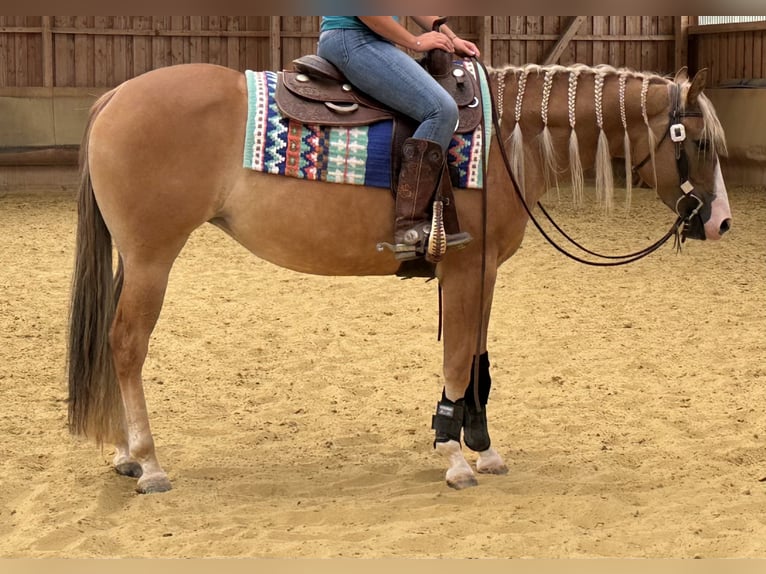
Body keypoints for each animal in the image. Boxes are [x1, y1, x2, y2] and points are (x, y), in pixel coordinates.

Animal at [67, 60, 732, 494]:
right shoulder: (465, 268)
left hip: (136, 260)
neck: (502, 144)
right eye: (699, 142)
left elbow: (478, 361)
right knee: (127, 344)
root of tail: (115, 95)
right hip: (153, 257)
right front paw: (454, 455)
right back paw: (149, 462)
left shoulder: (484, 271)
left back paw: (126, 454)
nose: (720, 221)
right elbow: (459, 356)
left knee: (113, 342)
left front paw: (482, 448)